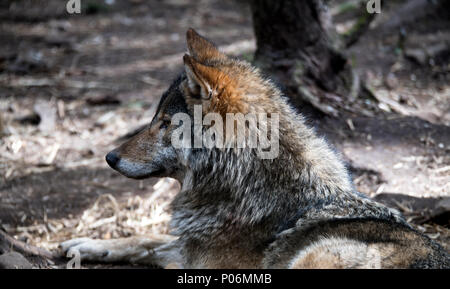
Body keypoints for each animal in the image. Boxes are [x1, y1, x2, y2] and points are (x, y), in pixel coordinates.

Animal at [60, 29, 450, 268]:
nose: (110, 157)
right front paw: (84, 243)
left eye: (166, 123)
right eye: (157, 119)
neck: (247, 186)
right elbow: (146, 238)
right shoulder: (193, 243)